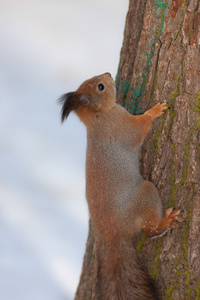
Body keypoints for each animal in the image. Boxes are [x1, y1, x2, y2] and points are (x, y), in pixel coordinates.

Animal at [59, 73, 184, 300]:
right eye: (100, 87)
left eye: (94, 80)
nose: (108, 74)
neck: (99, 118)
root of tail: (114, 235)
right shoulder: (123, 127)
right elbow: (140, 128)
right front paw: (155, 111)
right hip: (145, 193)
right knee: (150, 229)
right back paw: (166, 221)